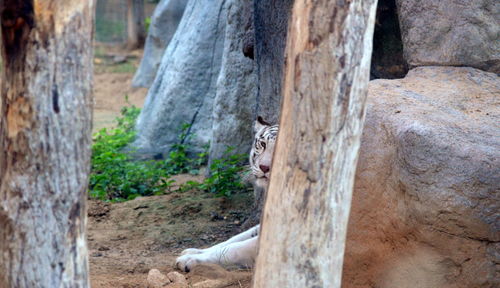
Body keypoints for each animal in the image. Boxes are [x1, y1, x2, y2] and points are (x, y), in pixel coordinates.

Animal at [175, 117, 278, 272]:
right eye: (263, 144)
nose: (264, 167)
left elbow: (233, 249)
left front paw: (190, 259)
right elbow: (231, 239)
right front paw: (194, 251)